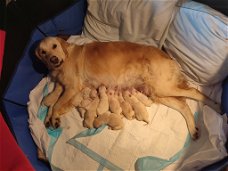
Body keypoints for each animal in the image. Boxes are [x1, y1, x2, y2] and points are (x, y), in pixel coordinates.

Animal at [34, 36, 220, 140]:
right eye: (42, 52)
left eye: (54, 46)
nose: (53, 59)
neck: (65, 58)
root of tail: (168, 56)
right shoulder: (64, 86)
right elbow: (53, 102)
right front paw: (50, 118)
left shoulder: (72, 87)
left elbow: (57, 104)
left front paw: (54, 117)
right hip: (157, 92)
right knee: (183, 105)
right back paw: (193, 130)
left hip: (163, 86)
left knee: (194, 92)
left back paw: (216, 105)